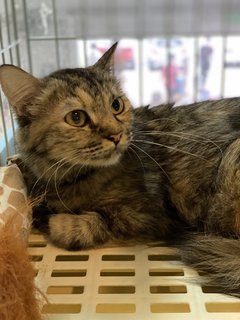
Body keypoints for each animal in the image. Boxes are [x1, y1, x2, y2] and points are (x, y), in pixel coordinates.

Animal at [0, 42, 240, 298]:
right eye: (76, 117)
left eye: (116, 105)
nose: (116, 135)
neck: (70, 177)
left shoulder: (149, 216)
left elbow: (88, 225)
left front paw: (55, 221)